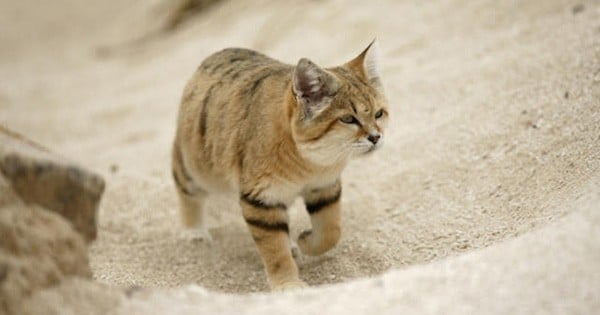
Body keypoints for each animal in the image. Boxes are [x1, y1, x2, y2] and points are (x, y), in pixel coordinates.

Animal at [173, 40, 390, 292]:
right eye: (348, 119)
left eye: (379, 114)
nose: (376, 137)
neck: (307, 162)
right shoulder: (261, 200)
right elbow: (275, 250)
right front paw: (288, 284)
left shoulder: (324, 187)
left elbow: (331, 231)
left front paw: (305, 241)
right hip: (196, 169)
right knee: (186, 191)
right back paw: (194, 231)